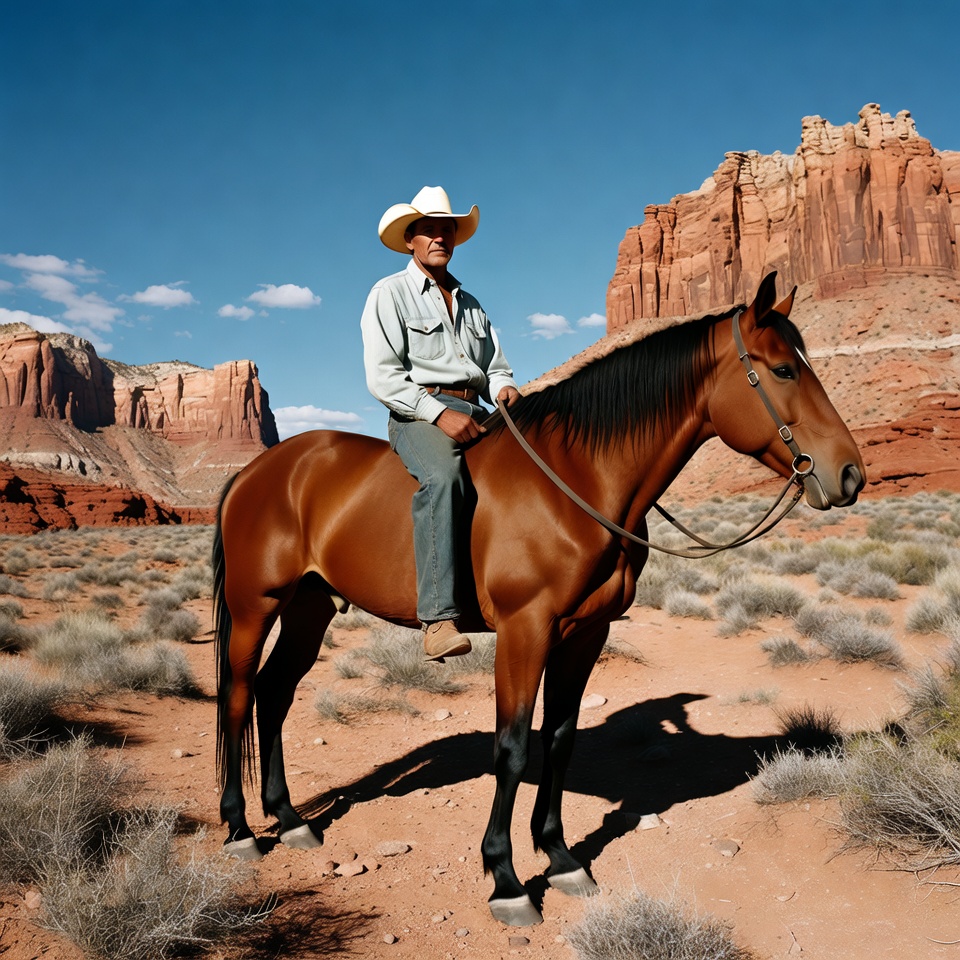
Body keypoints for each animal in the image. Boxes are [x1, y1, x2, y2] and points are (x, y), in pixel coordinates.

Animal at [213, 272, 866, 926]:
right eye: (783, 370)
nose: (850, 474)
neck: (577, 480)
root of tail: (257, 471)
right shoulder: (525, 631)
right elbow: (512, 748)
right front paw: (505, 879)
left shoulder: (585, 633)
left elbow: (559, 737)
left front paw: (559, 856)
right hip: (255, 606)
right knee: (239, 695)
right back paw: (241, 830)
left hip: (310, 607)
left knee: (274, 694)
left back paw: (290, 820)